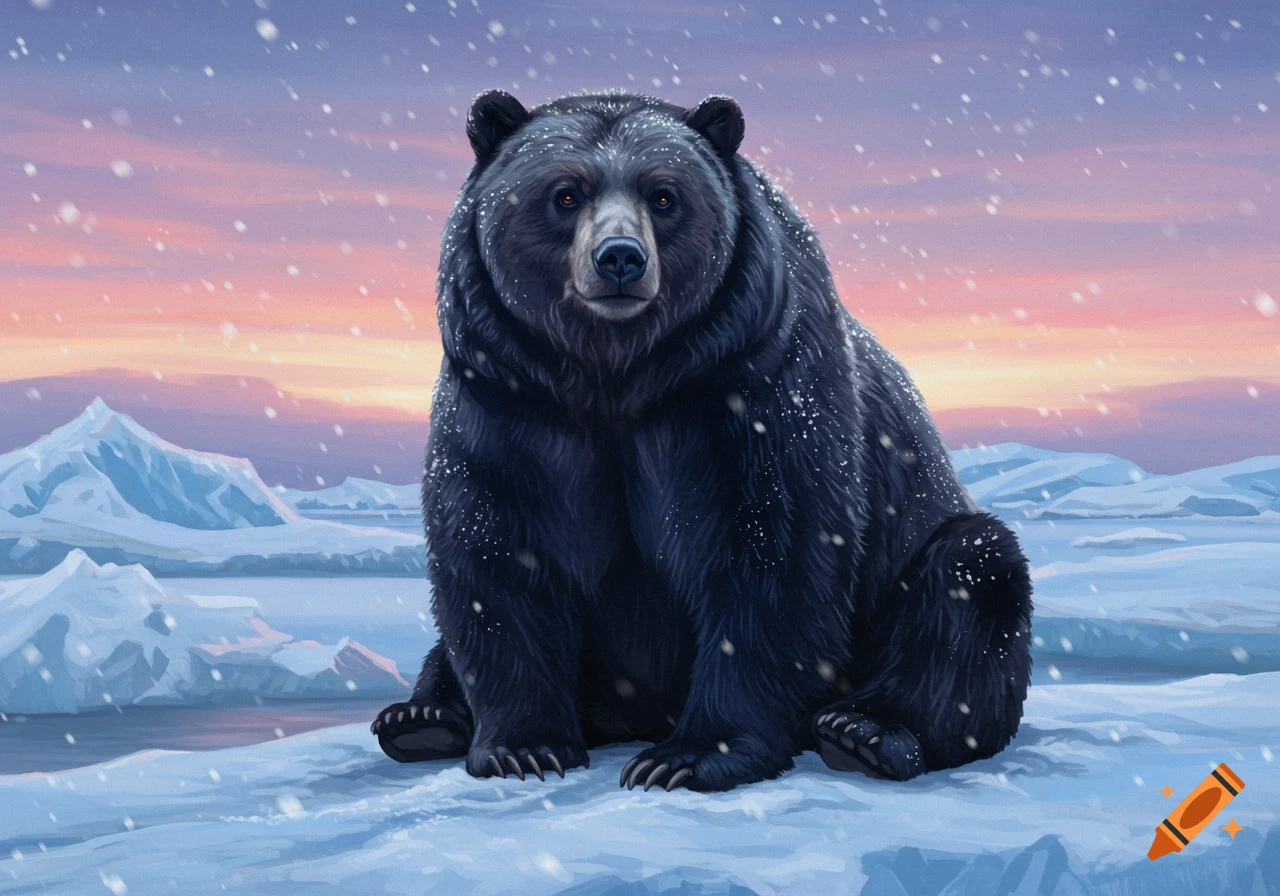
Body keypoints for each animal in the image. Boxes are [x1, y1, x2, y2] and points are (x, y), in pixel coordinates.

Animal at [371, 89, 1033, 792]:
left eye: (664, 195)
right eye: (565, 194)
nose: (620, 257)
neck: (616, 373)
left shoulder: (749, 384)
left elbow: (771, 550)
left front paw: (688, 756)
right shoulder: (510, 393)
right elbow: (498, 548)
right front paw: (524, 747)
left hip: (917, 563)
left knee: (970, 582)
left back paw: (865, 732)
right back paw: (420, 717)